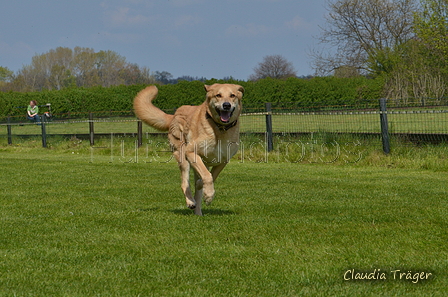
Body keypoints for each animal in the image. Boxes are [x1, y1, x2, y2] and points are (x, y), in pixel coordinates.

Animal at [134, 83, 245, 215]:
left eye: (232, 95)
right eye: (218, 95)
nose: (226, 105)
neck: (220, 129)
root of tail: (174, 115)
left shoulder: (223, 160)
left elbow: (211, 176)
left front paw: (204, 190)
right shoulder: (191, 152)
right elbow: (207, 176)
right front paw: (209, 195)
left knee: (198, 186)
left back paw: (198, 212)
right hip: (183, 157)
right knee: (184, 183)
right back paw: (191, 202)